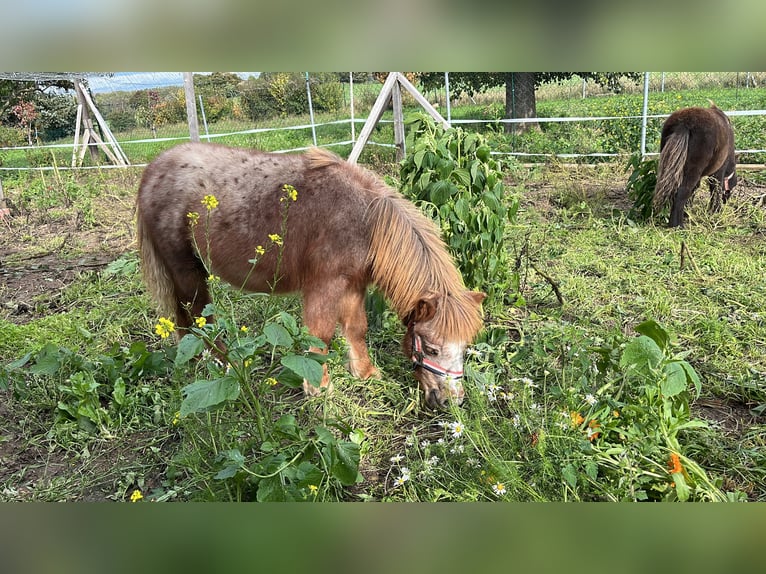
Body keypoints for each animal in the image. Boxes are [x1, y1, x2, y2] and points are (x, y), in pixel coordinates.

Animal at [136, 146, 486, 412]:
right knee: (199, 317)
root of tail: (153, 170)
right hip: (187, 271)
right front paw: (319, 387)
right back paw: (222, 363)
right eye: (432, 349)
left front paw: (365, 372)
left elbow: (356, 329)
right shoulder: (324, 286)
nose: (451, 401)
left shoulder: (353, 285)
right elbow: (321, 336)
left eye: (465, 346)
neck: (366, 220)